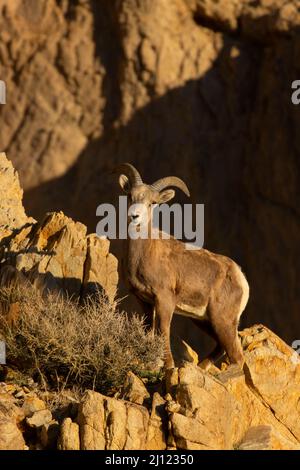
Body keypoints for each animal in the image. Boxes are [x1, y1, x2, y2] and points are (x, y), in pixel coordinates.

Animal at [115, 163, 248, 370]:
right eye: (130, 195)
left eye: (152, 202)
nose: (134, 216)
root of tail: (241, 278)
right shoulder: (145, 302)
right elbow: (148, 330)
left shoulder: (164, 301)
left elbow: (163, 332)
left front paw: (168, 368)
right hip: (204, 320)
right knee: (221, 347)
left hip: (222, 321)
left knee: (237, 357)